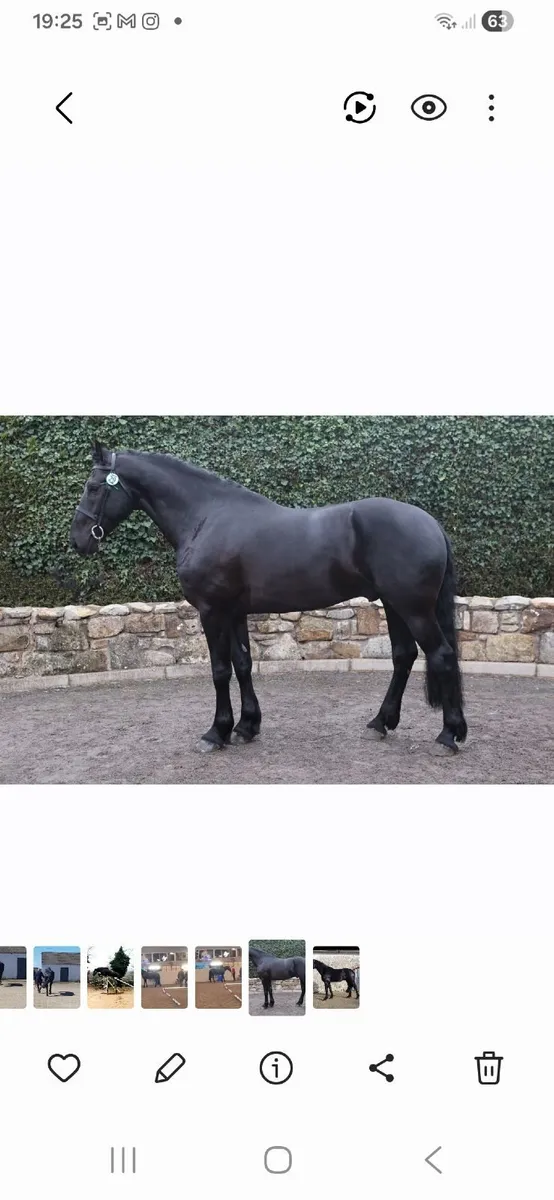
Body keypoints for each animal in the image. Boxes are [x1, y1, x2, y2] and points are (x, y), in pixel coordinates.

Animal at [70, 443, 468, 755]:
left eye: (92, 486)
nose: (78, 539)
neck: (206, 516)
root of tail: (431, 523)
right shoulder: (234, 612)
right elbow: (243, 664)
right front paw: (246, 727)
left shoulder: (212, 612)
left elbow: (219, 670)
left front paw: (216, 733)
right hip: (394, 605)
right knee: (404, 656)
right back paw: (380, 723)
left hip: (414, 609)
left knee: (442, 655)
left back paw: (448, 735)